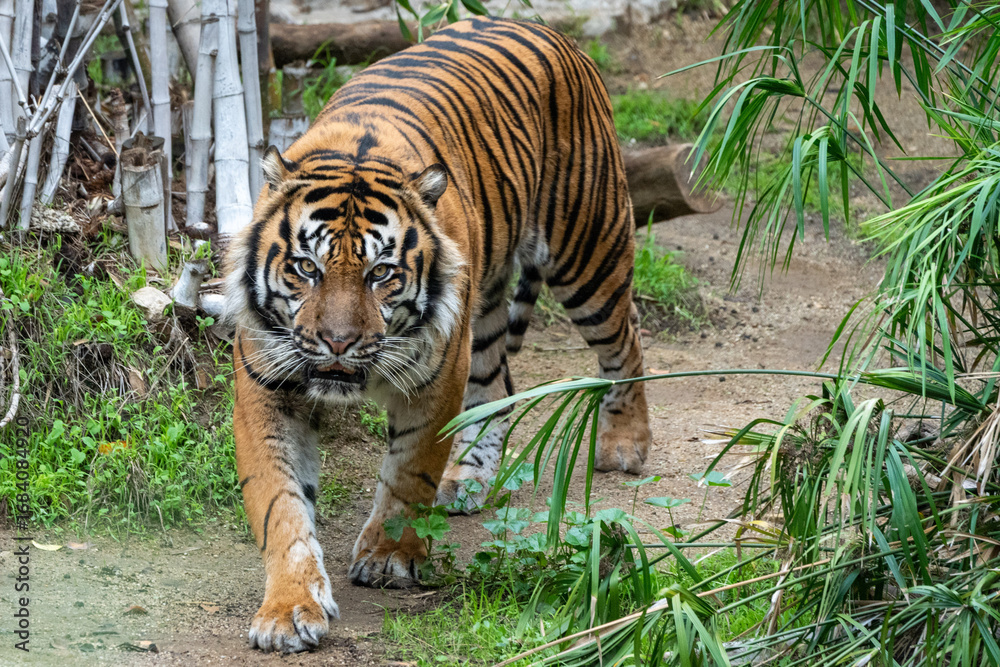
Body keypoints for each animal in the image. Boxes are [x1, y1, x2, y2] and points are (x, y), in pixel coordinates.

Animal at [223, 15, 653, 653]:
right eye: (306, 268)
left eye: (381, 273)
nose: (337, 343)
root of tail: (547, 28)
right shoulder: (266, 387)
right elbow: (281, 505)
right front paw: (289, 609)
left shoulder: (435, 377)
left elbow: (409, 471)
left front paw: (390, 556)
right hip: (488, 304)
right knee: (499, 386)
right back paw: (468, 477)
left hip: (588, 250)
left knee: (626, 340)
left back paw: (626, 443)